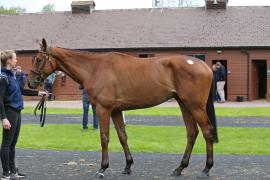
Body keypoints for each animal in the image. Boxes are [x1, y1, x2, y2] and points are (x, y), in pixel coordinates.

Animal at [28, 38, 217, 178]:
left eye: (38, 59)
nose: (30, 82)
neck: (95, 68)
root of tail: (205, 66)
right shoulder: (116, 111)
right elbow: (122, 137)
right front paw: (128, 166)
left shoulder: (103, 109)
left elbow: (104, 138)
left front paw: (102, 168)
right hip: (184, 104)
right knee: (192, 133)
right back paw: (179, 168)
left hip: (195, 106)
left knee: (207, 131)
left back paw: (206, 169)